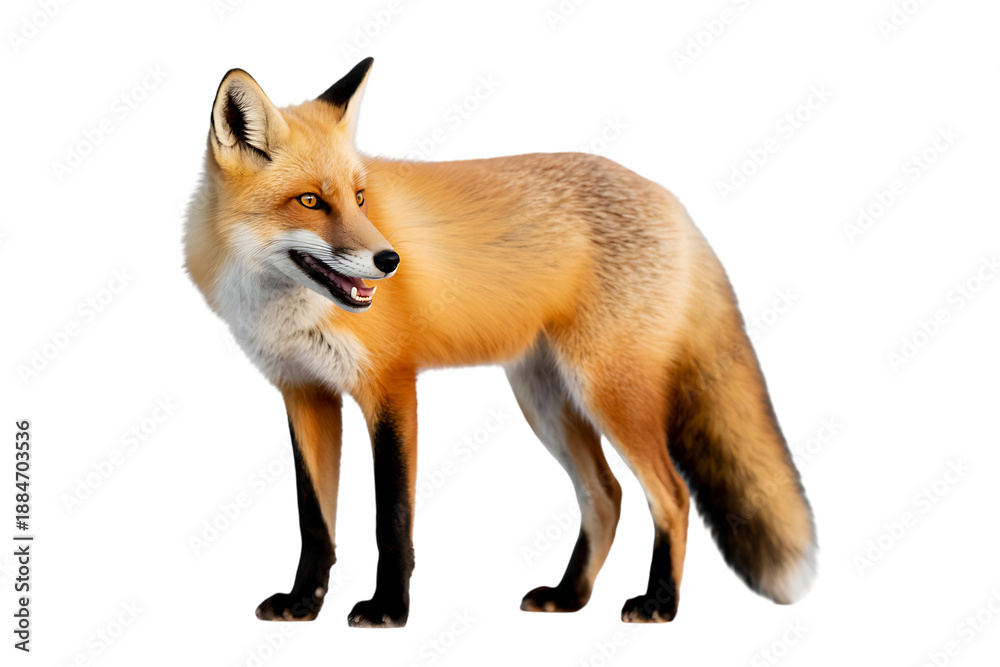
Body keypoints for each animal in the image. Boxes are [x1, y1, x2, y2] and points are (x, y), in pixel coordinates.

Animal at [184, 58, 816, 628]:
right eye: (311, 201)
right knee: (606, 495)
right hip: (547, 402)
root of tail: (669, 199)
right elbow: (314, 521)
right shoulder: (305, 392)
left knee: (672, 496)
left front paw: (389, 610)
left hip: (608, 393)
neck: (284, 308)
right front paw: (303, 605)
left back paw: (660, 603)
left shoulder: (391, 387)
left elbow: (392, 517)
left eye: (360, 198)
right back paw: (570, 597)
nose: (390, 260)